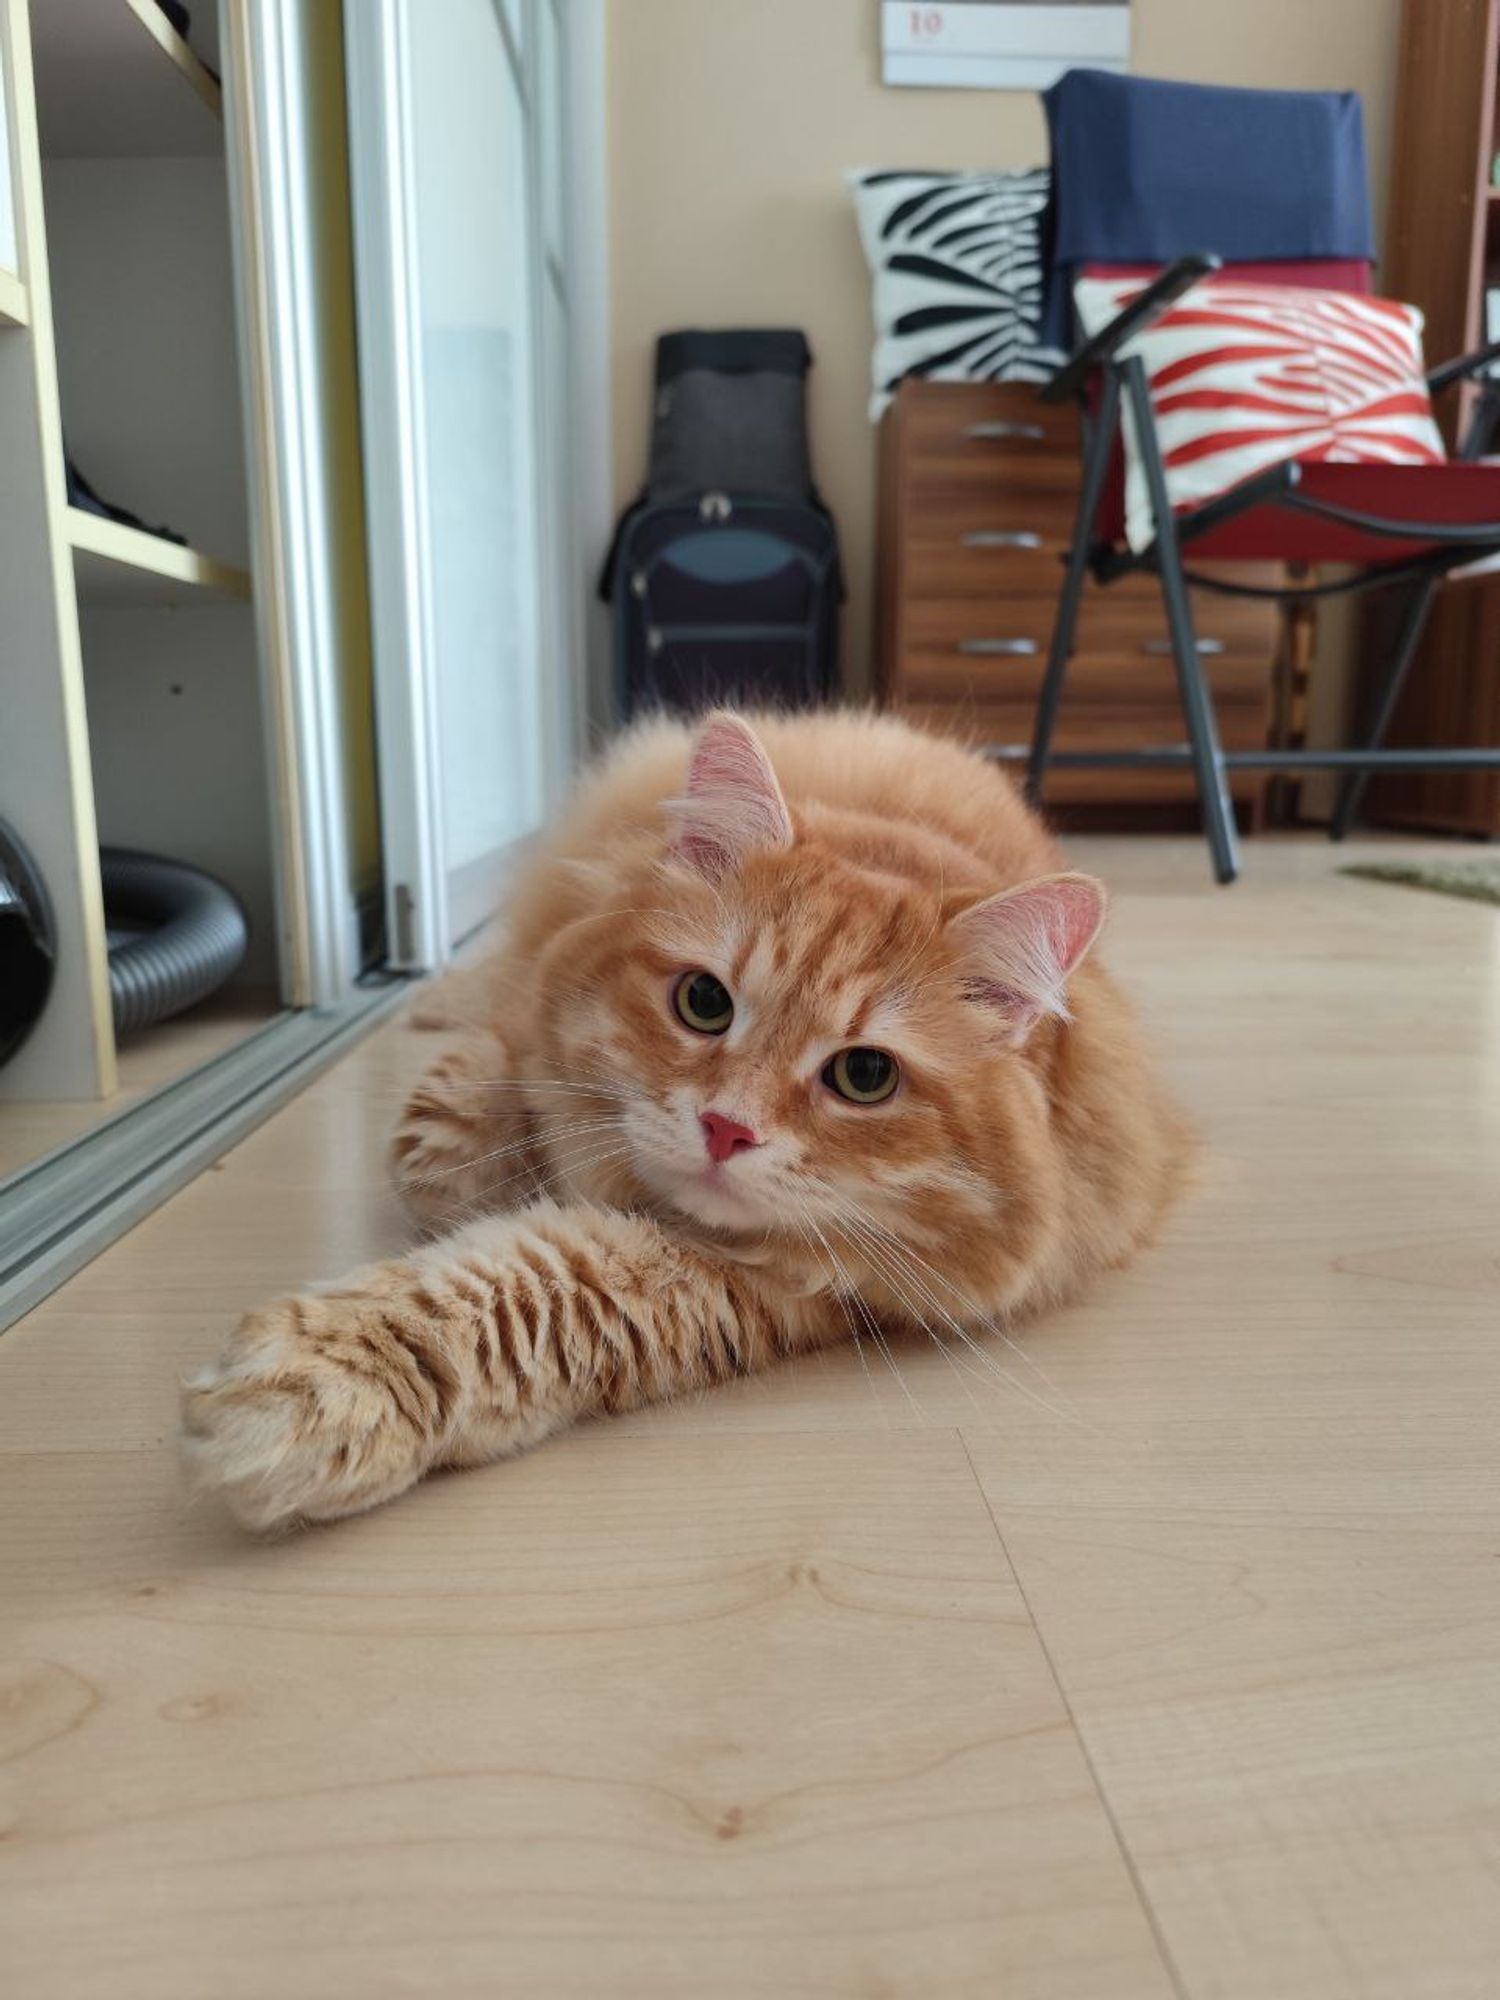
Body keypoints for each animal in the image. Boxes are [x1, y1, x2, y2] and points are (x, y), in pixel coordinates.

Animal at [182, 712, 1192, 1520]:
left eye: (865, 1075)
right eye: (704, 1003)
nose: (727, 1130)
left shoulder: (775, 1287)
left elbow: (529, 1284)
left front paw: (321, 1389)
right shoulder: (536, 988)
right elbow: (460, 1123)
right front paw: (483, 1157)